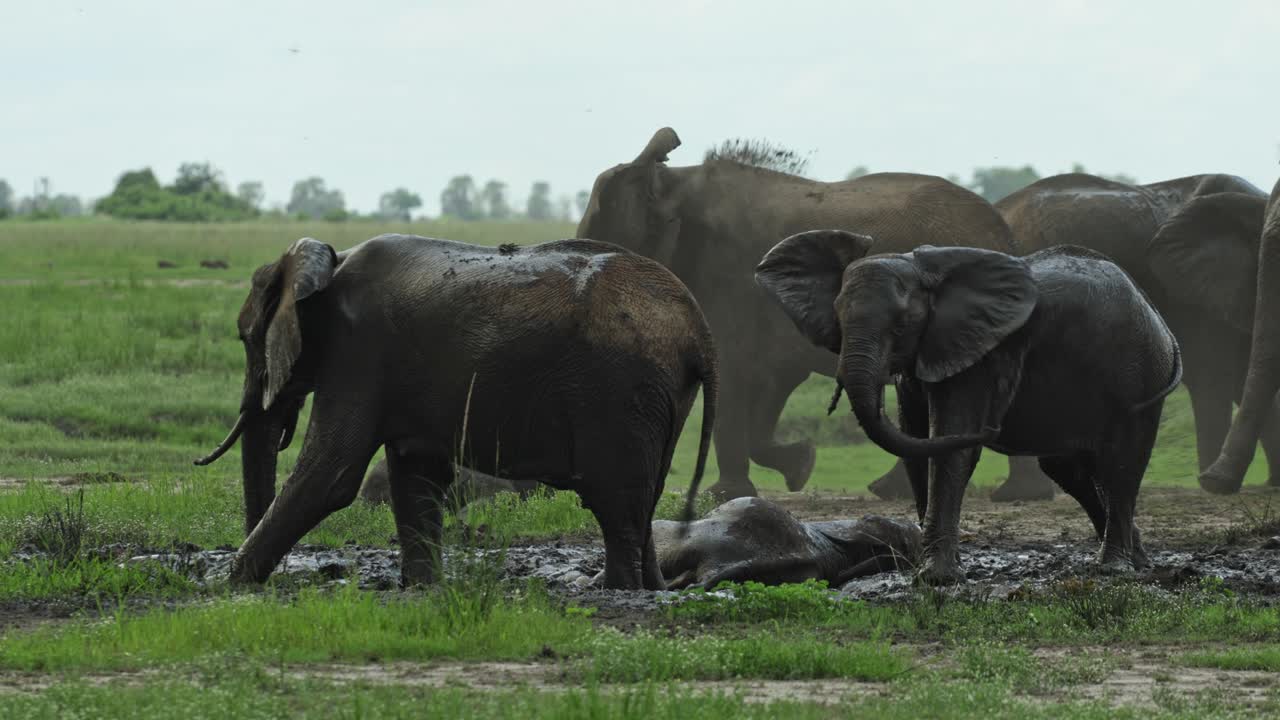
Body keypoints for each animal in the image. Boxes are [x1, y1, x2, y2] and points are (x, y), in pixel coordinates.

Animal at [193, 234, 718, 589]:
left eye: (247, 337)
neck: (326, 265)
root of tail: (700, 333)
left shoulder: (357, 353)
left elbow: (330, 474)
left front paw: (225, 586)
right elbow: (415, 476)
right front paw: (424, 590)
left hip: (619, 389)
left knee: (616, 502)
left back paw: (616, 593)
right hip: (659, 396)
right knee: (643, 496)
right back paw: (649, 591)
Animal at [578, 127, 1018, 502]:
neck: (671, 182)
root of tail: (1003, 233)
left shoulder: (731, 275)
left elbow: (736, 370)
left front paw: (726, 495)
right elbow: (771, 379)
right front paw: (800, 466)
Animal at [756, 233, 1182, 584]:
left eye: (900, 326)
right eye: (839, 319)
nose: (996, 423)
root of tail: (1158, 317)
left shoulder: (978, 355)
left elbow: (949, 442)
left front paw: (936, 578)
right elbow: (916, 444)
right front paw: (934, 568)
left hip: (1138, 374)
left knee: (1120, 463)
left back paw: (1115, 568)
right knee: (1070, 469)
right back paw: (1139, 560)